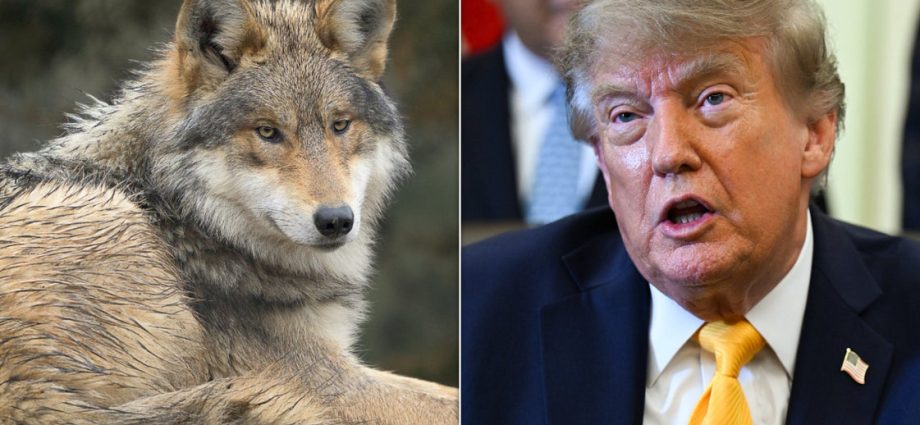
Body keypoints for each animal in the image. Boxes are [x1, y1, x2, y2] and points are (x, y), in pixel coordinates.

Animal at [0, 0, 457, 423]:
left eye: (340, 125)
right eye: (268, 132)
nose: (336, 221)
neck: (184, 216)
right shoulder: (325, 379)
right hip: (117, 222)